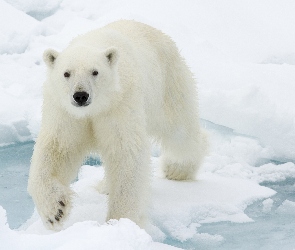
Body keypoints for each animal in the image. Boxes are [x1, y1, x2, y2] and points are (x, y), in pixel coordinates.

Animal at [27, 20, 208, 230]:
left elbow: (125, 153)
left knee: (180, 131)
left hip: (168, 84)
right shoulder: (66, 113)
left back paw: (177, 169)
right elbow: (58, 149)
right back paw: (105, 186)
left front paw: (120, 220)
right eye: (66, 73)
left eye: (95, 72)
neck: (95, 109)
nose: (80, 95)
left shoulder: (119, 105)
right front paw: (55, 210)